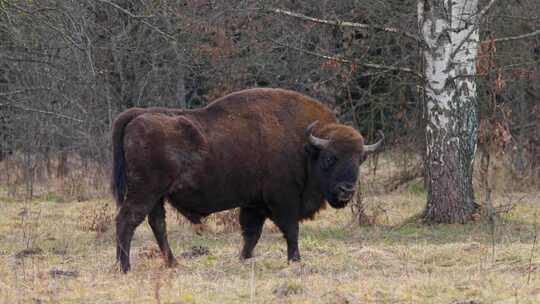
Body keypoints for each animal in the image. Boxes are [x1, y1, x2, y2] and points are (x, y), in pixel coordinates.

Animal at [109, 87, 382, 270]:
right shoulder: (283, 201)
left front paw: (244, 258)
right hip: (145, 191)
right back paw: (125, 267)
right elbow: (290, 230)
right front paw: (295, 260)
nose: (347, 190)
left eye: (360, 159)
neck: (305, 146)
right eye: (329, 158)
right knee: (126, 221)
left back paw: (172, 263)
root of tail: (138, 115)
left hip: (157, 196)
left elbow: (252, 233)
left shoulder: (254, 204)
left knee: (157, 224)